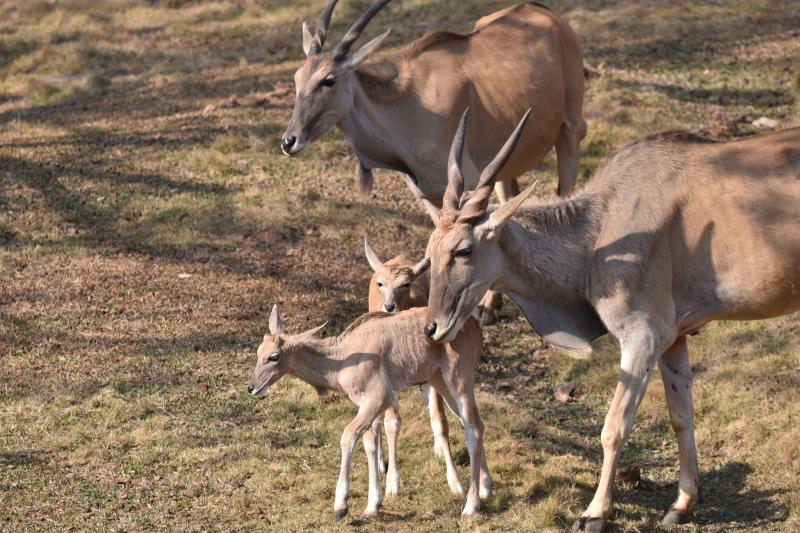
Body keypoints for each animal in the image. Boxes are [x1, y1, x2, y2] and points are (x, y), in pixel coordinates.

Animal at [422, 107, 796, 528]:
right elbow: (681, 416)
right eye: (429, 252)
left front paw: (595, 512)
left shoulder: (643, 337)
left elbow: (614, 427)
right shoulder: (675, 340)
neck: (601, 226)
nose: (432, 327)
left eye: (463, 251)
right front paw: (682, 503)